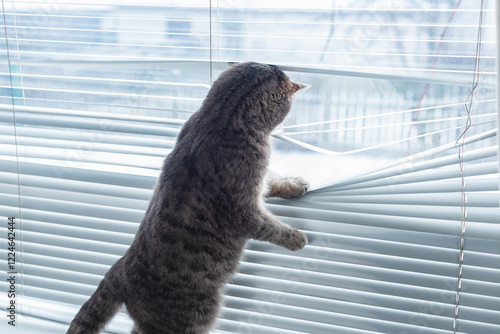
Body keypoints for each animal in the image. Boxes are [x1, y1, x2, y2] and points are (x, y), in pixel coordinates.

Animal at [66, 62, 308, 334]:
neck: (220, 118)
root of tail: (119, 271)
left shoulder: (256, 185)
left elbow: (271, 184)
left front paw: (294, 184)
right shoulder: (241, 210)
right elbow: (268, 227)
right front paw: (294, 237)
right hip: (191, 318)